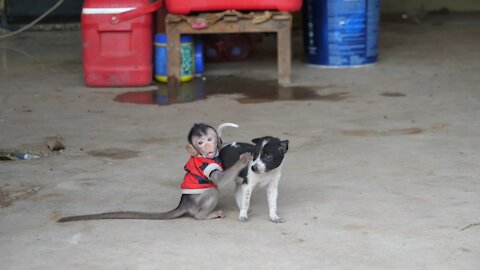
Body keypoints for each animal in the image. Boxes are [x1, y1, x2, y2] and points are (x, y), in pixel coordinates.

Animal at [59, 122, 251, 221]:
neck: (204, 155)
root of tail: (183, 204)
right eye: (200, 143)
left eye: (210, 139)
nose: (209, 147)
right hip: (197, 202)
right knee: (212, 191)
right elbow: (218, 180)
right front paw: (243, 159)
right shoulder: (205, 162)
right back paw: (204, 216)